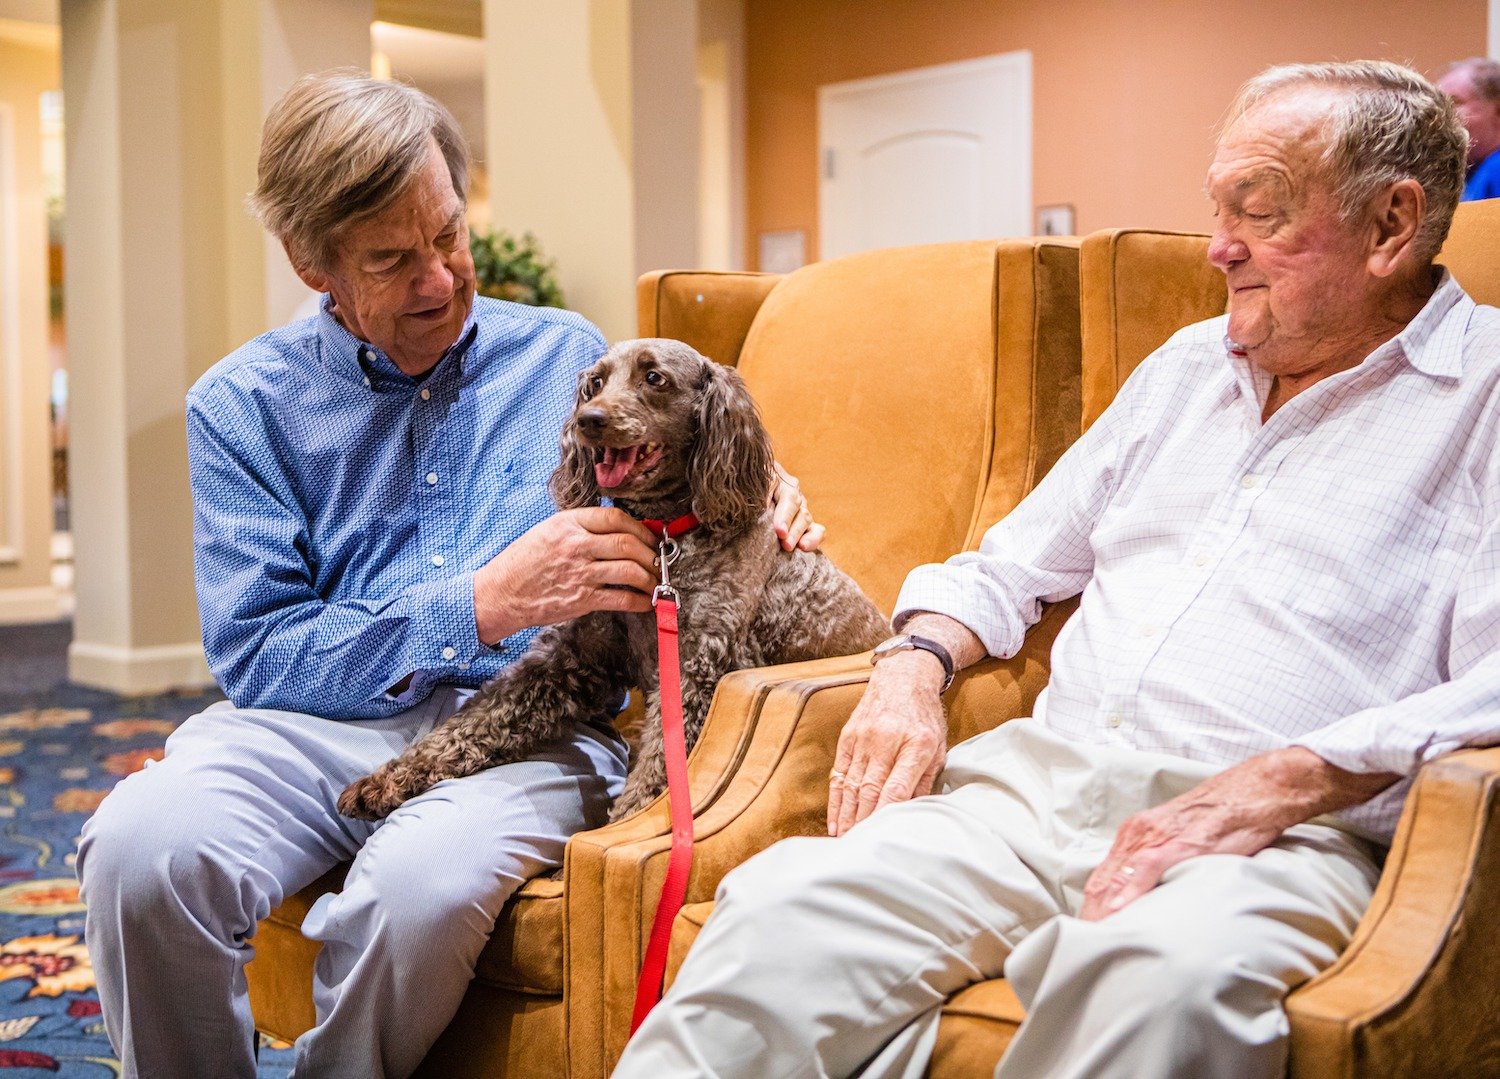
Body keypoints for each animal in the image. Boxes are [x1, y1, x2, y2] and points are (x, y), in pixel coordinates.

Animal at [340, 342, 888, 822]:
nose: (590, 420)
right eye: (595, 384)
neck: (665, 542)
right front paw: (385, 781)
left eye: (654, 378)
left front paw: (620, 826)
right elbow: (479, 719)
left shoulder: (694, 677)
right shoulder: (567, 661)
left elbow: (657, 776)